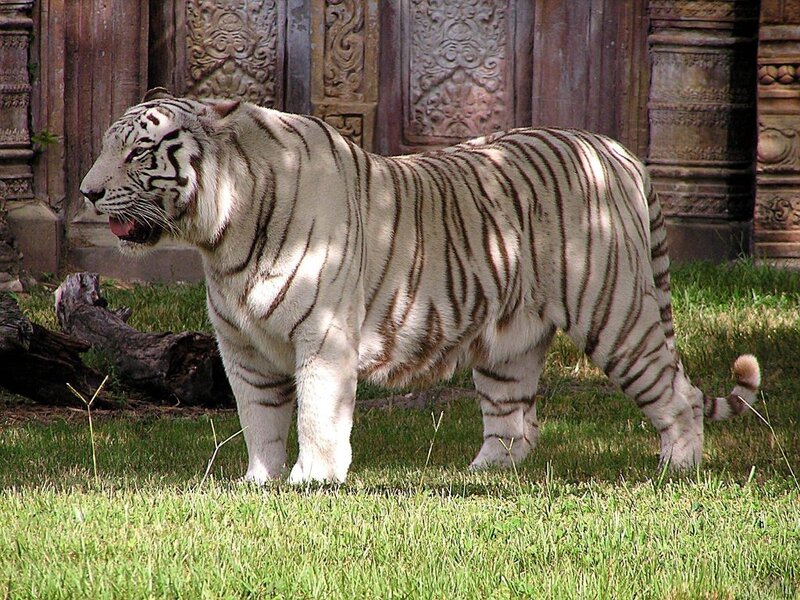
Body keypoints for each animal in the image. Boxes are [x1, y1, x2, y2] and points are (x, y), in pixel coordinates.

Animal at [80, 88, 761, 484]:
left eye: (137, 153)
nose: (86, 192)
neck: (220, 232)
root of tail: (618, 149)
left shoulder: (322, 336)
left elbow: (317, 412)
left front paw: (312, 481)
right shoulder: (242, 346)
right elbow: (259, 416)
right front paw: (260, 483)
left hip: (614, 311)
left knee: (676, 392)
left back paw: (676, 468)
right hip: (509, 342)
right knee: (514, 422)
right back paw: (481, 476)